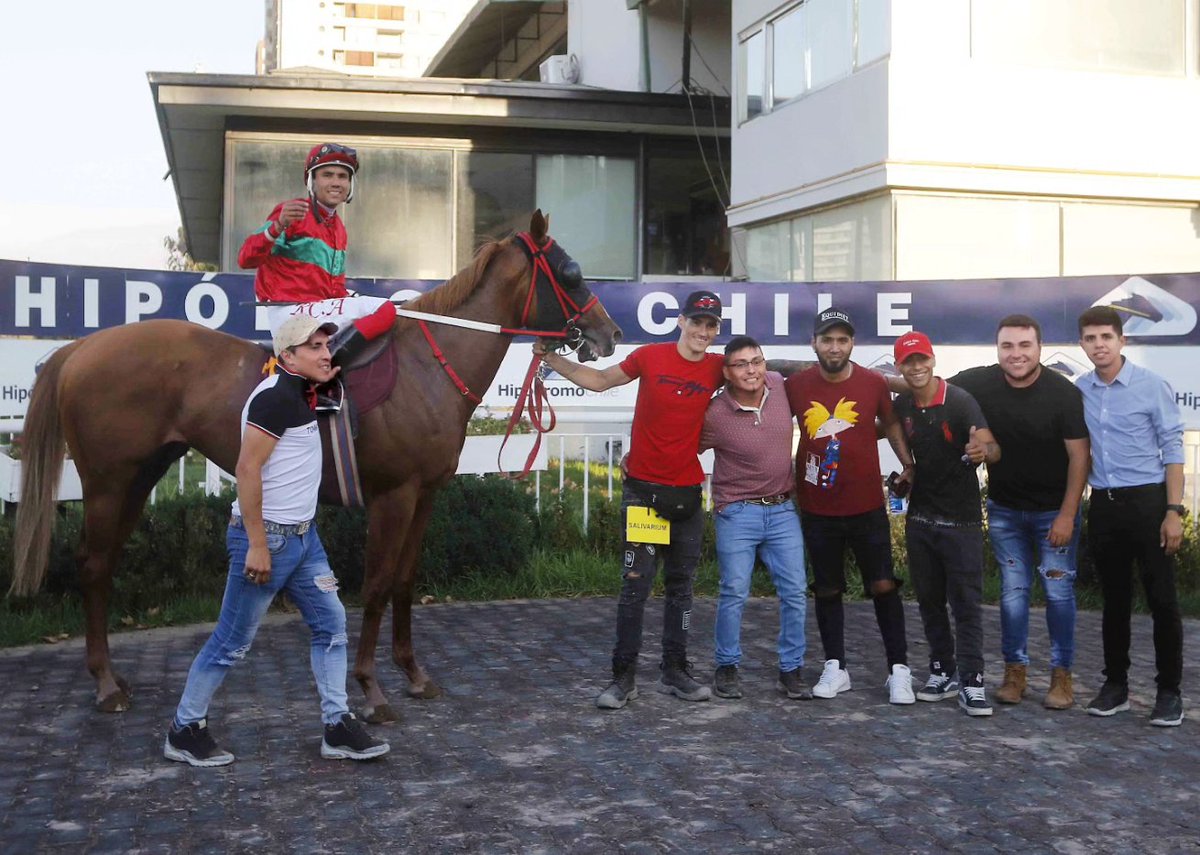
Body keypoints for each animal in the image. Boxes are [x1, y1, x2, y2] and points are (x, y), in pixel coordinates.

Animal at [9, 208, 624, 720]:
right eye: (571, 271)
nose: (610, 333)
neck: (428, 366)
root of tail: (81, 348)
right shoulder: (393, 495)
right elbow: (376, 585)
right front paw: (370, 689)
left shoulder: (426, 494)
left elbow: (405, 581)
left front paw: (414, 674)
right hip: (109, 481)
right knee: (93, 565)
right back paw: (105, 684)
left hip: (140, 476)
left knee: (104, 564)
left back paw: (112, 678)